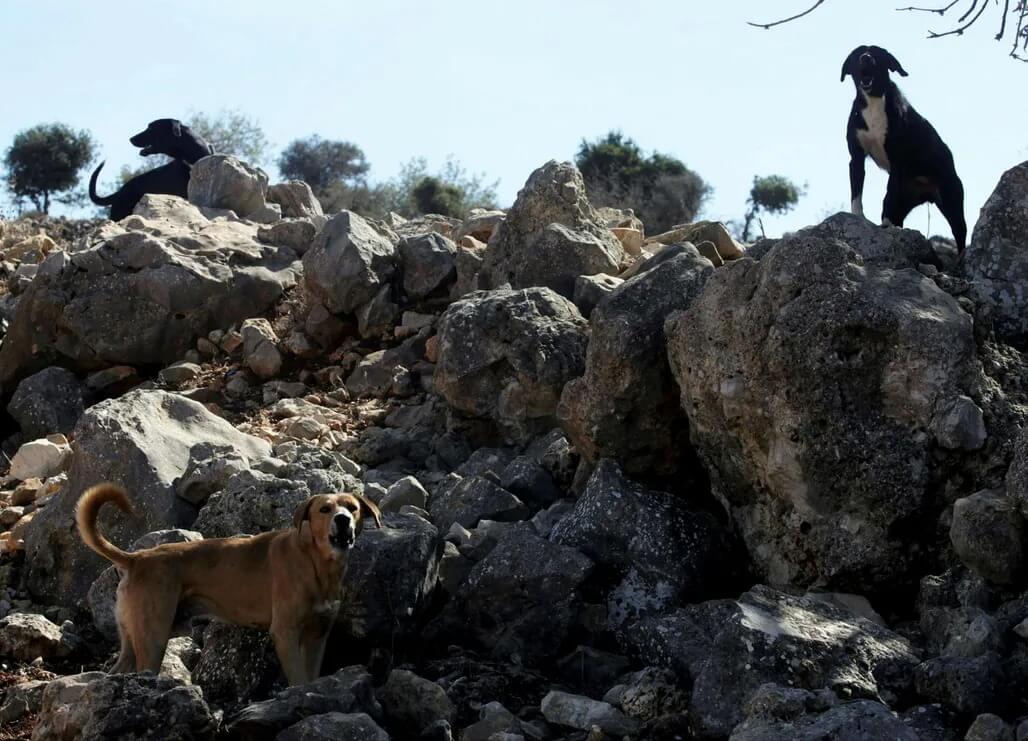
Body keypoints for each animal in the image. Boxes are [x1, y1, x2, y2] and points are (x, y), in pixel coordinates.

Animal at [76, 483, 382, 686]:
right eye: (325, 509)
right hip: (153, 638)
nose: (342, 520)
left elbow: (312, 676)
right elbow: (298, 680)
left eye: (353, 508)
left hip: (133, 636)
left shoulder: (318, 635)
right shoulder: (285, 632)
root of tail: (136, 558)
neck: (315, 561)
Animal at [842, 44, 962, 251]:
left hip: (952, 199)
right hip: (907, 199)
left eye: (876, 52)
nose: (865, 57)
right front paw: (858, 217)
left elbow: (888, 195)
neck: (874, 101)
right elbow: (856, 192)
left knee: (960, 232)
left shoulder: (897, 161)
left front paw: (886, 224)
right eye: (858, 53)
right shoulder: (856, 157)